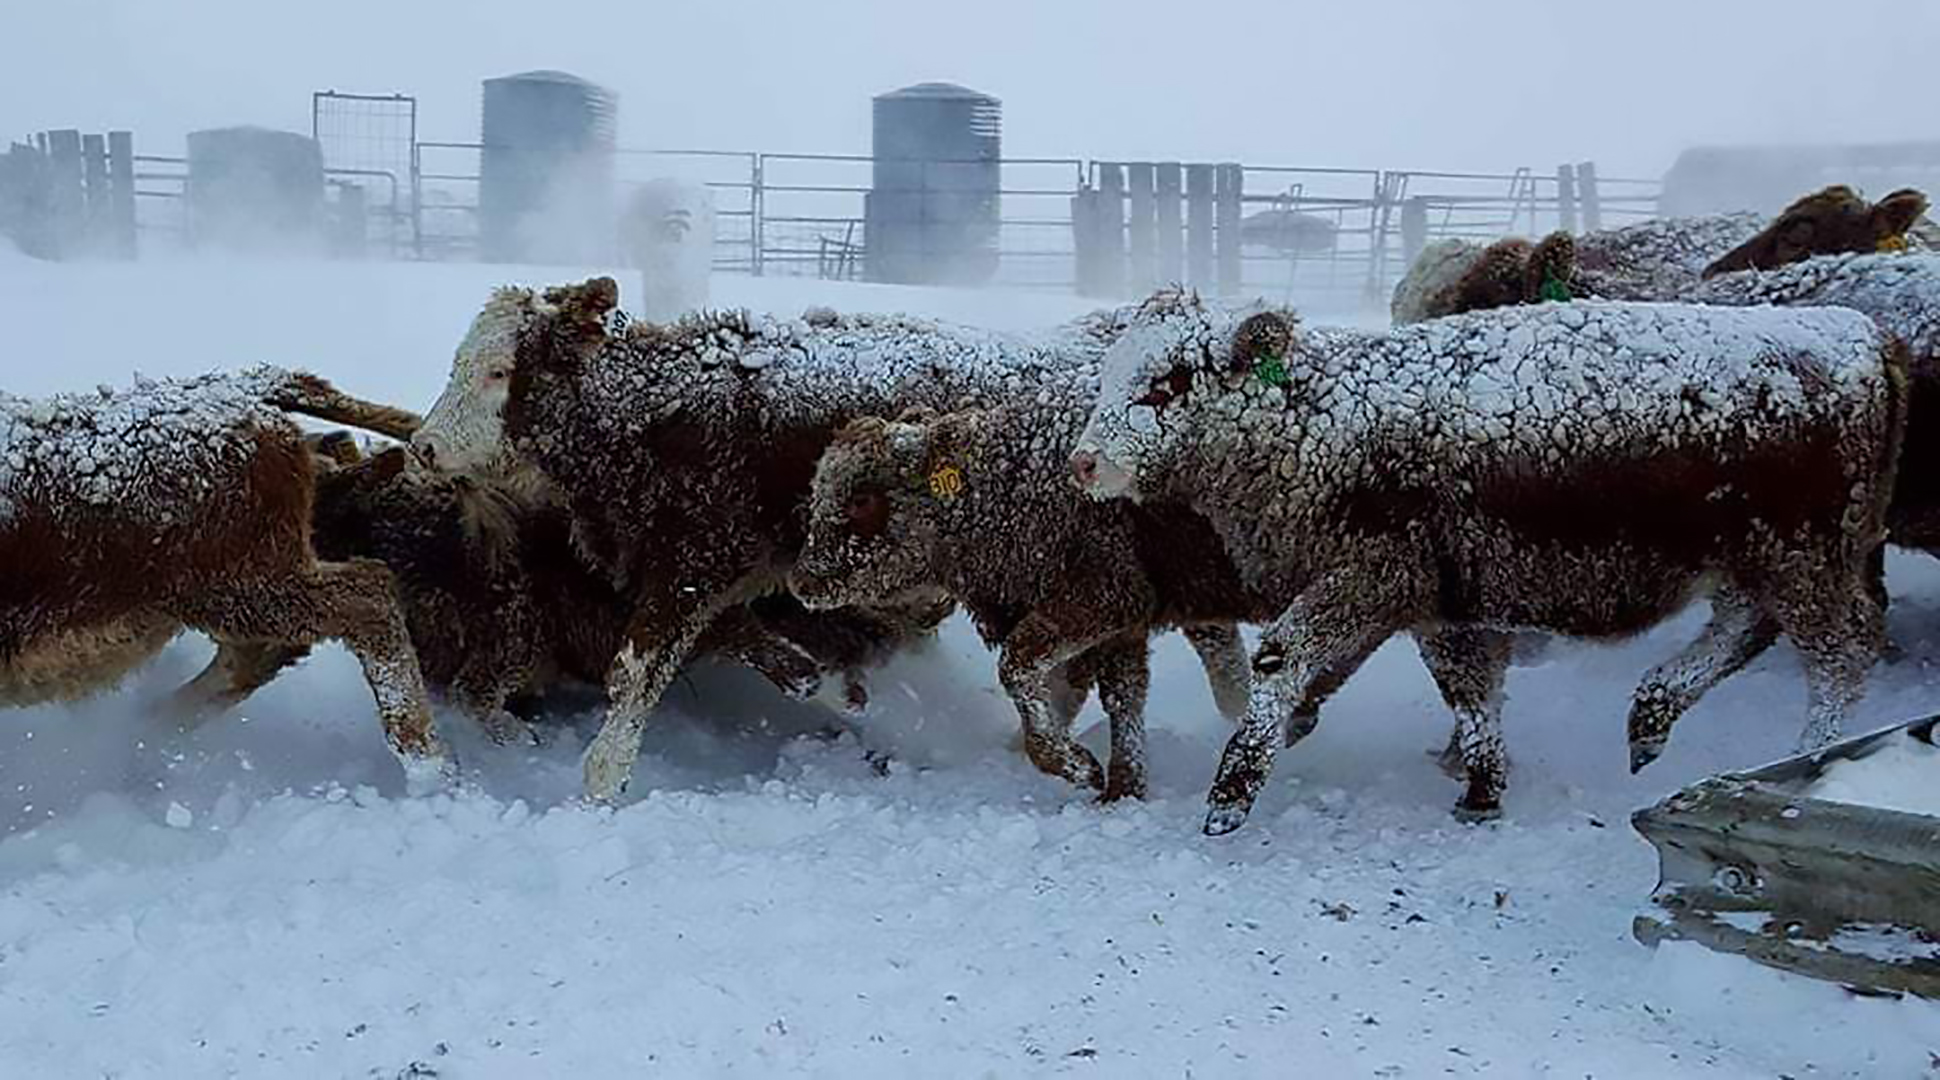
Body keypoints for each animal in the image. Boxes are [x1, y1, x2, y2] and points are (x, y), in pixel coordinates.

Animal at [1070, 290, 1901, 829]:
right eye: (1111, 373)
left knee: (1840, 657)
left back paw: (1804, 760)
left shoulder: (1371, 578)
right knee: (1745, 628)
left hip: (1804, 562)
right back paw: (1654, 711)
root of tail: (1857, 332)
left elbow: (1285, 658)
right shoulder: (1438, 598)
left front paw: (1235, 785)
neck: (1322, 416)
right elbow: (1468, 690)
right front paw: (1482, 785)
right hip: (1761, 562)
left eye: (1168, 382)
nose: (1082, 461)